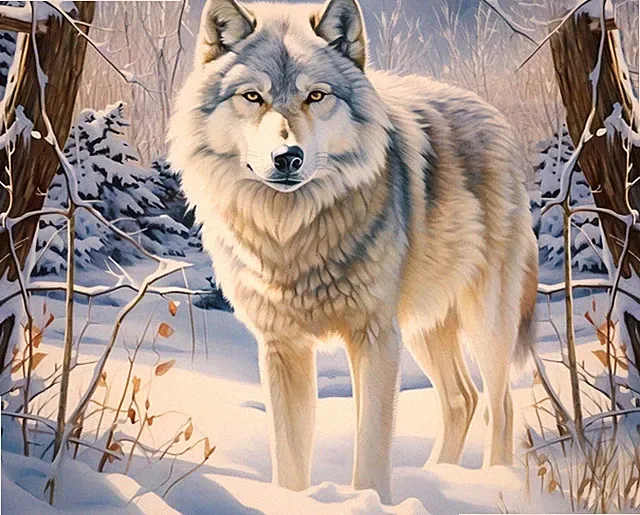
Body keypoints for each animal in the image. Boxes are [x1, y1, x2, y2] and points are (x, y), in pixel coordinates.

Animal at [169, 0, 538, 504]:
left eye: (316, 96)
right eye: (252, 97)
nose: (288, 157)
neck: (292, 234)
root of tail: (492, 114)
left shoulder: (375, 337)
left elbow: (371, 447)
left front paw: (373, 500)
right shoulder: (282, 346)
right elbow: (289, 459)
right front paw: (292, 501)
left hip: (484, 322)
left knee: (501, 406)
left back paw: (493, 485)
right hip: (423, 326)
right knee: (462, 398)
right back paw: (439, 476)